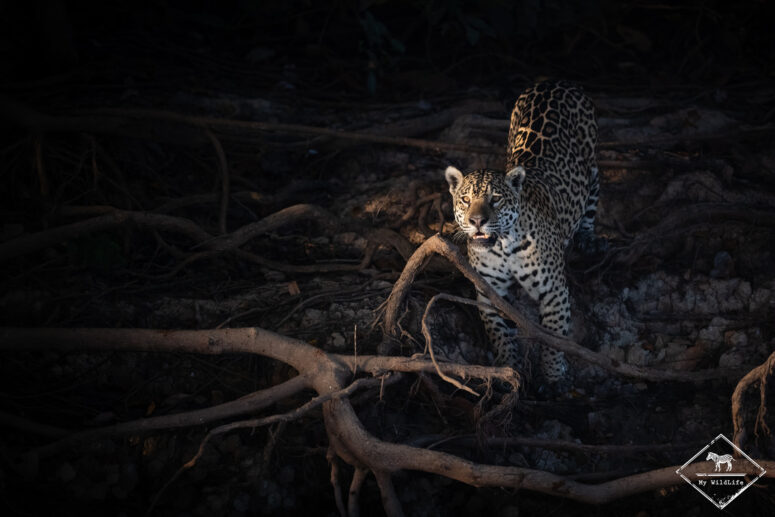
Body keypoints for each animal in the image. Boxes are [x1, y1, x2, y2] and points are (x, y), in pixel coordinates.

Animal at [444, 80, 602, 385]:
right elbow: (499, 334)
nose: (476, 221)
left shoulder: (554, 291)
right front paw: (508, 368)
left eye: (495, 199)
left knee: (592, 197)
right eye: (466, 200)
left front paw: (552, 378)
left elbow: (554, 338)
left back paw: (587, 239)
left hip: (591, 165)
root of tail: (554, 82)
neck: (504, 246)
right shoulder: (489, 291)